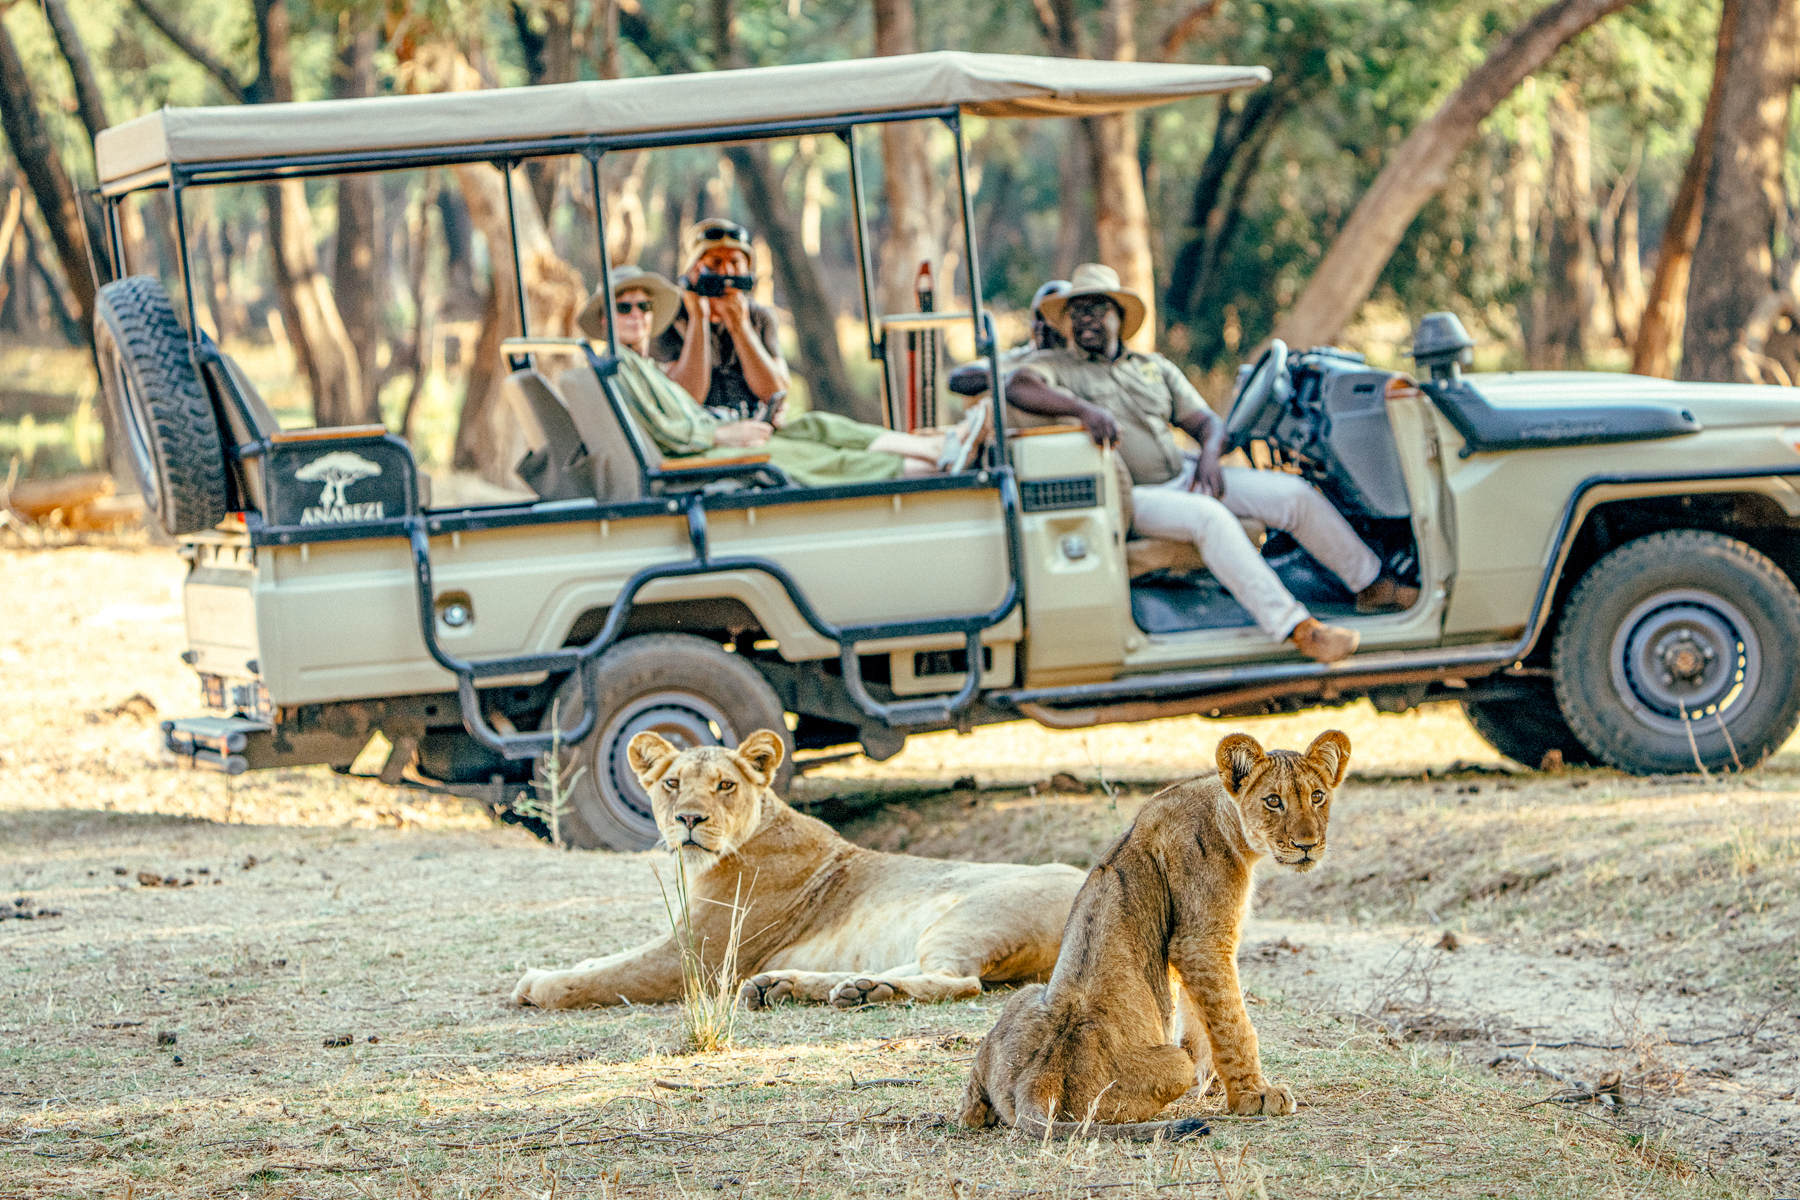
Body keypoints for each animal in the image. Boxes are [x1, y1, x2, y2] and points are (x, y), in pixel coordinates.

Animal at [510, 729, 1086, 1011]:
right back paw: (802, 986)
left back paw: (865, 993)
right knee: (923, 970)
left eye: (725, 785)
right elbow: (606, 960)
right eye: (672, 783)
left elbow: (602, 978)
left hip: (968, 916)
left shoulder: (696, 958)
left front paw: (537, 984)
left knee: (960, 982)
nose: (688, 819)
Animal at [959, 729, 1351, 1140]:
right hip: (1164, 1066)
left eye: (1317, 796)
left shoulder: (1191, 946)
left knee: (974, 1095)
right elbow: (1232, 1022)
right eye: (1273, 801)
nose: (1308, 845)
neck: (1226, 817)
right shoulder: (1201, 940)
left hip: (1025, 995)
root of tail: (1035, 1087)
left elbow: (1201, 1015)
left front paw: (1211, 1081)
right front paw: (1254, 1096)